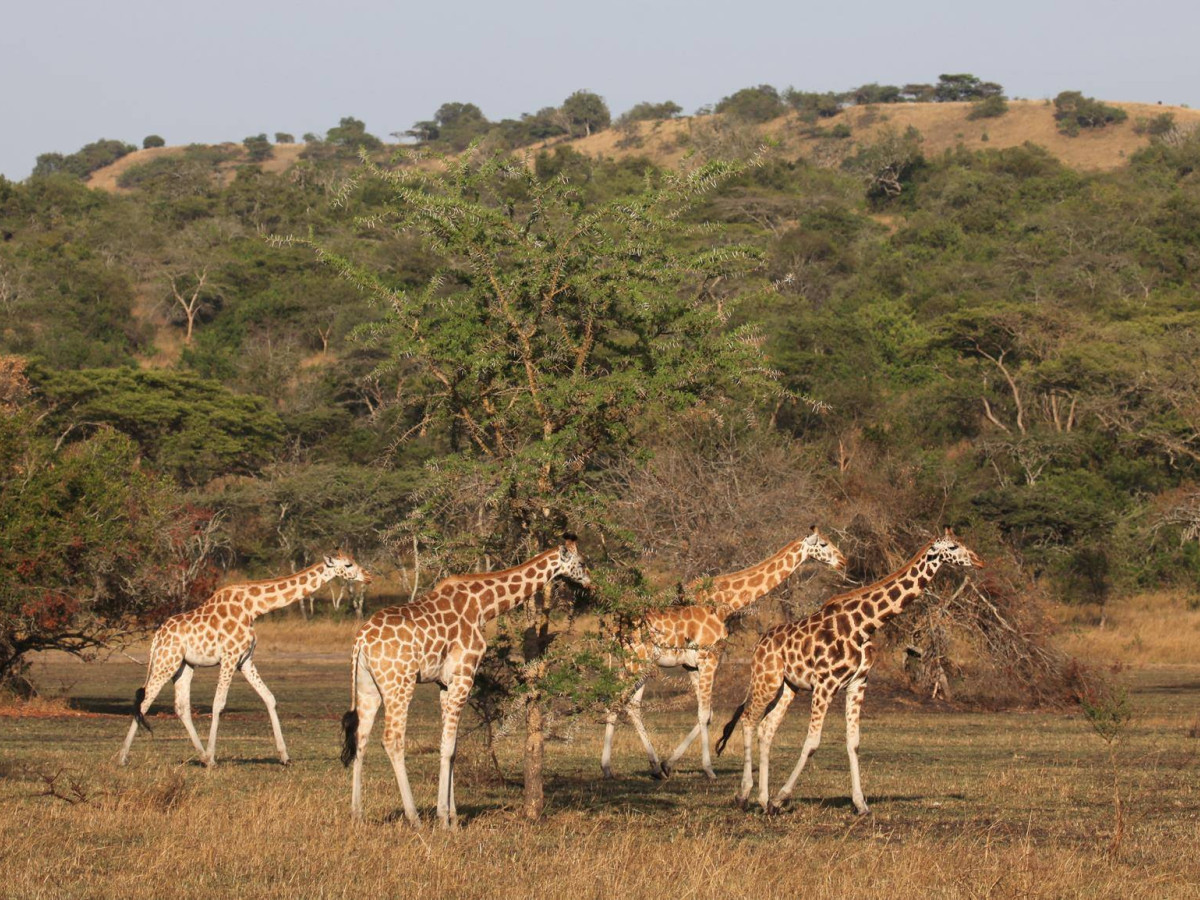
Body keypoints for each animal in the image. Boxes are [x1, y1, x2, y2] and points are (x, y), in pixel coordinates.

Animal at [118, 553, 371, 767]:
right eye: (348, 564)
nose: (368, 576)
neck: (253, 607)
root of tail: (156, 637)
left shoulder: (245, 660)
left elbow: (269, 698)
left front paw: (285, 757)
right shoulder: (229, 657)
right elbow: (218, 703)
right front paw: (213, 757)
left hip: (183, 665)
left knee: (181, 706)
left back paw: (200, 756)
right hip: (166, 661)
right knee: (145, 701)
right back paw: (123, 757)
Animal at [340, 535, 591, 829]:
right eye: (582, 562)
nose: (590, 583)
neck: (483, 606)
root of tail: (361, 641)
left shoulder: (445, 684)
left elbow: (452, 747)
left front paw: (453, 817)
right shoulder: (463, 675)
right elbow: (448, 748)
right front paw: (444, 819)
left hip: (368, 687)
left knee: (361, 738)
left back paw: (357, 814)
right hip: (399, 683)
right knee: (392, 740)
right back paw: (414, 818)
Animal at [600, 526, 846, 781]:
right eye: (824, 544)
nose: (843, 561)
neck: (727, 602)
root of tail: (611, 627)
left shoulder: (693, 664)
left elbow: (706, 714)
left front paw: (669, 764)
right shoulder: (710, 658)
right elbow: (703, 714)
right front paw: (709, 770)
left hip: (638, 664)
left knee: (631, 705)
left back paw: (655, 767)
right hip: (636, 662)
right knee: (615, 701)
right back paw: (607, 768)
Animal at [716, 529, 984, 815]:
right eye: (954, 548)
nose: (979, 561)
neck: (864, 625)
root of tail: (758, 644)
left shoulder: (857, 683)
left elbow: (853, 742)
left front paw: (861, 804)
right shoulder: (825, 684)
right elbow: (812, 742)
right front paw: (782, 797)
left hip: (789, 686)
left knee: (767, 728)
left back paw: (764, 801)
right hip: (766, 679)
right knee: (749, 719)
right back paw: (744, 796)